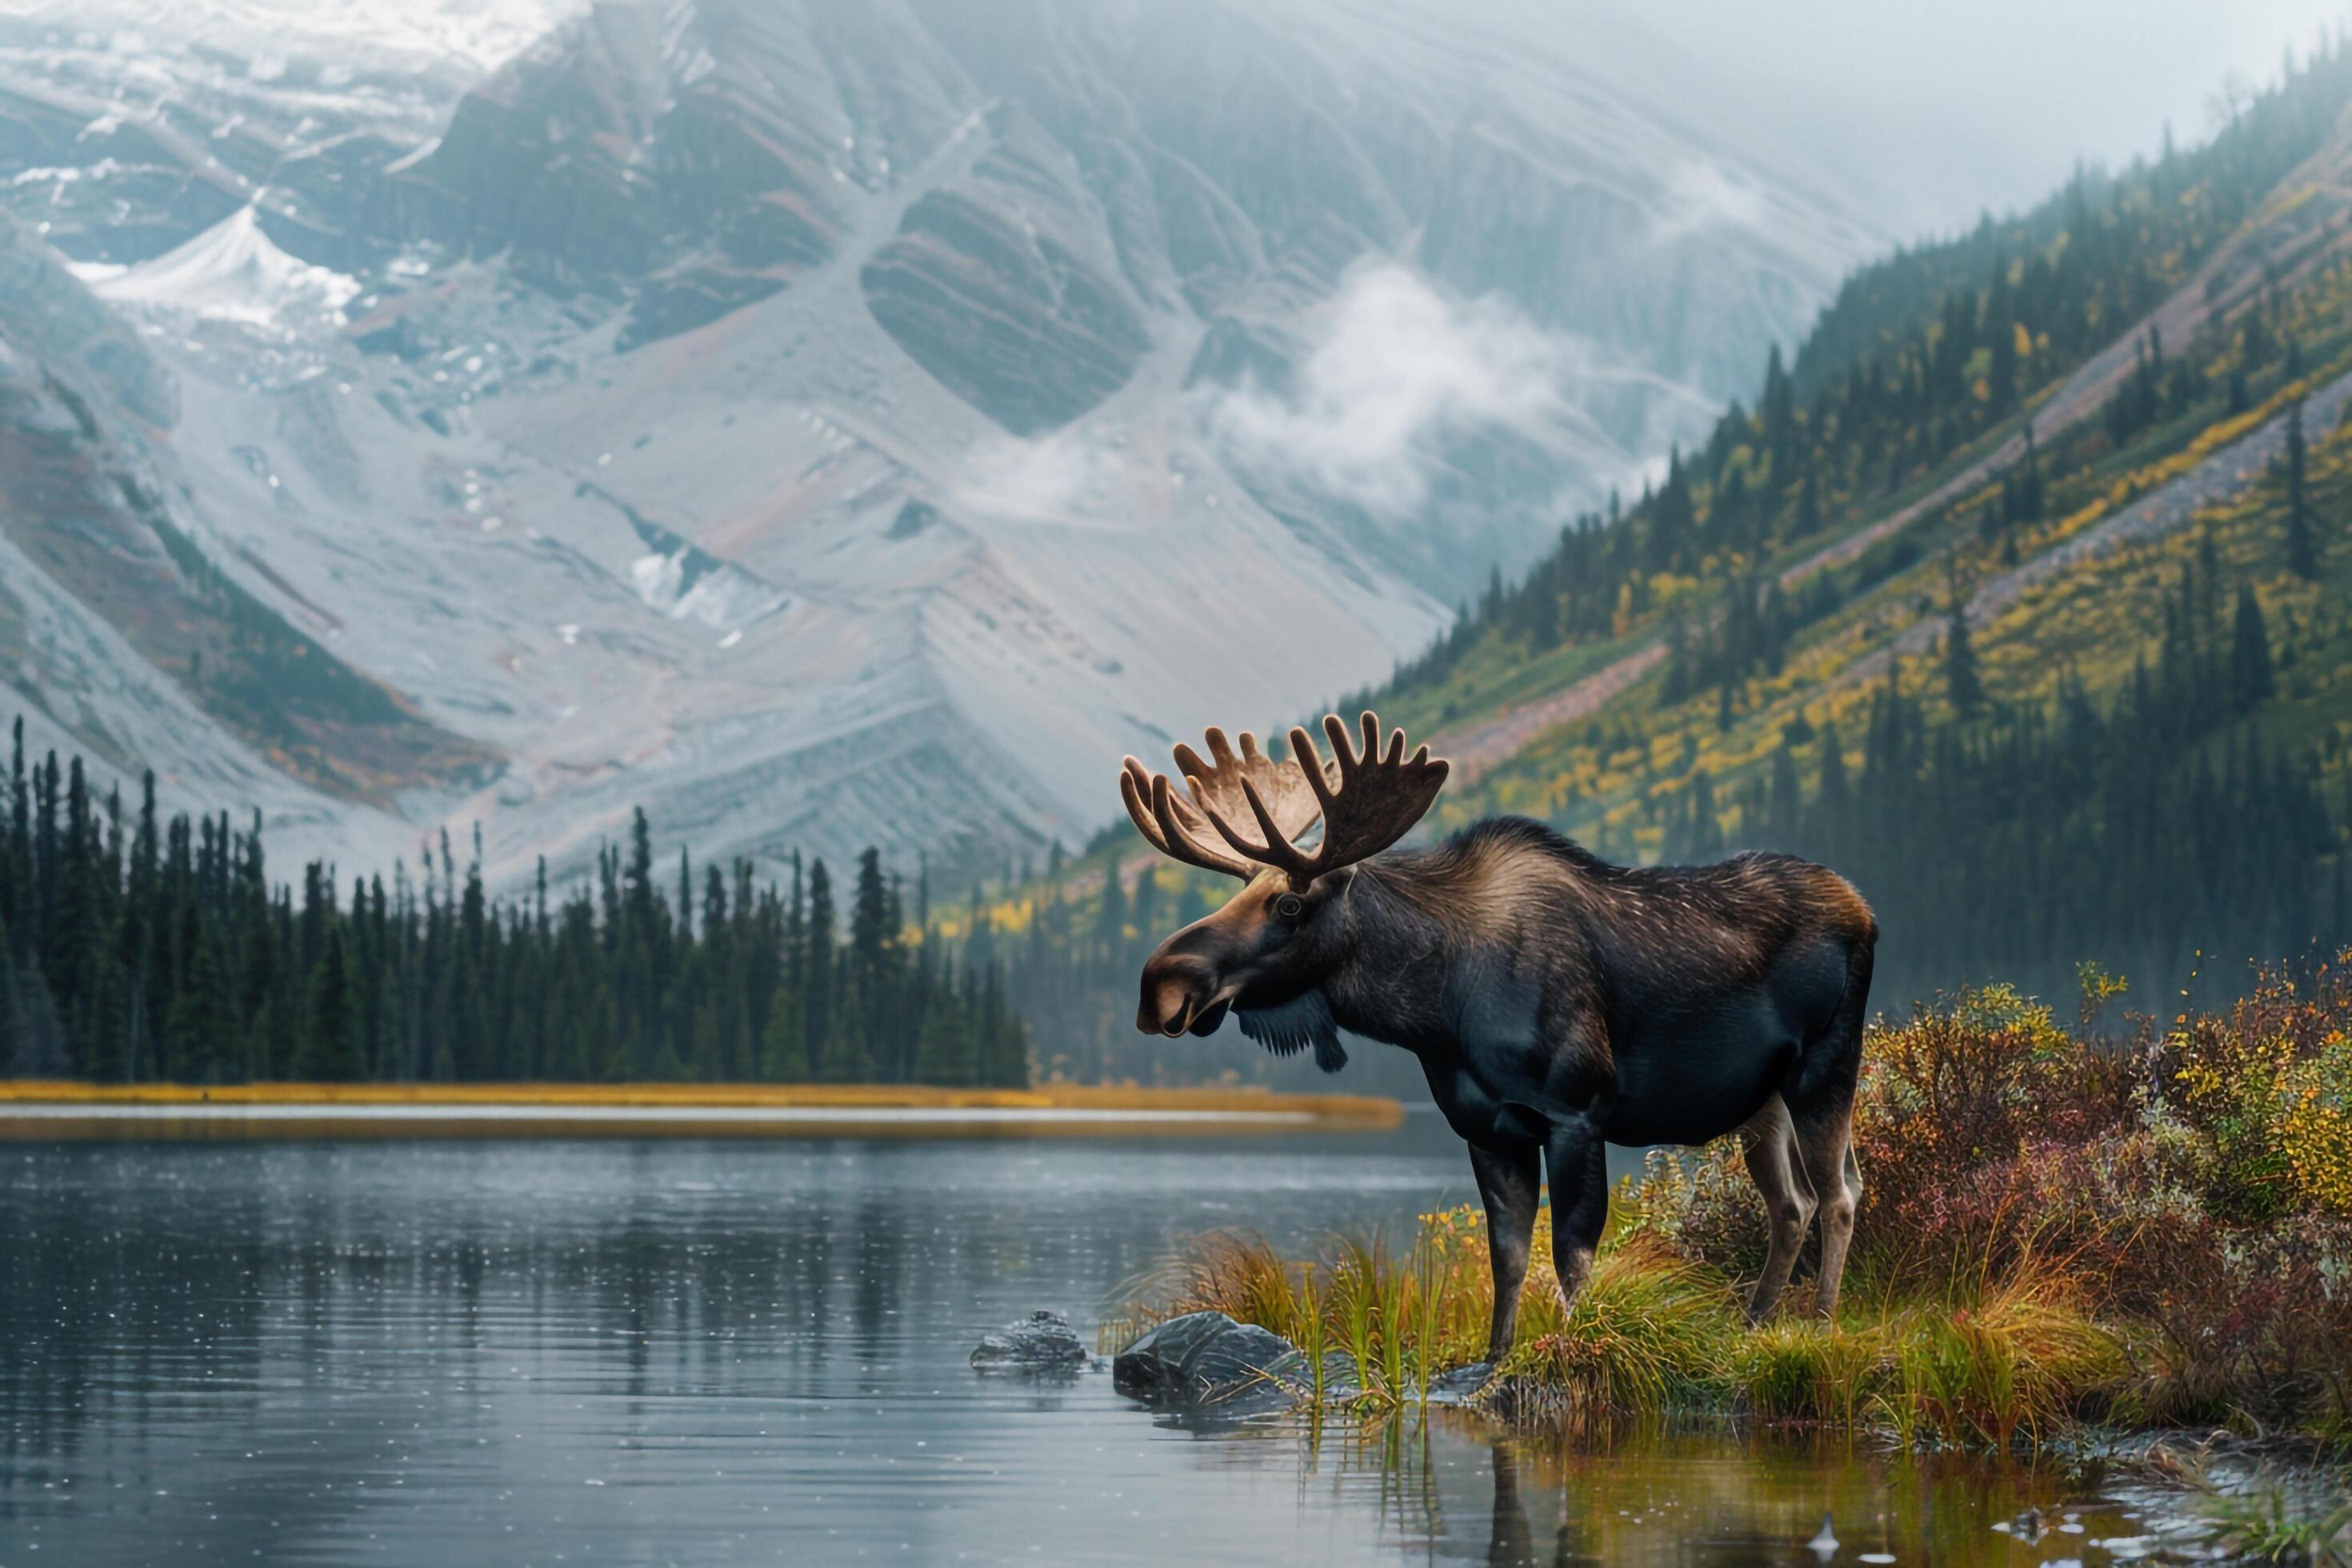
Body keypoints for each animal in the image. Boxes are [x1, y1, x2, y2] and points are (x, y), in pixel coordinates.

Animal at [1121, 711, 1875, 1369]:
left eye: (1288, 904)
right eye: (1242, 892)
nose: (1158, 984)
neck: (1438, 1012)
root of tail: (1865, 910)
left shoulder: (1577, 1110)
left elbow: (1572, 1256)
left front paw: (1574, 1348)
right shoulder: (1485, 1127)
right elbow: (1507, 1255)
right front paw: (1494, 1358)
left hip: (1826, 1066)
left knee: (1839, 1192)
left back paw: (1819, 1324)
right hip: (1761, 1099)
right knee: (1792, 1202)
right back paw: (1754, 1324)